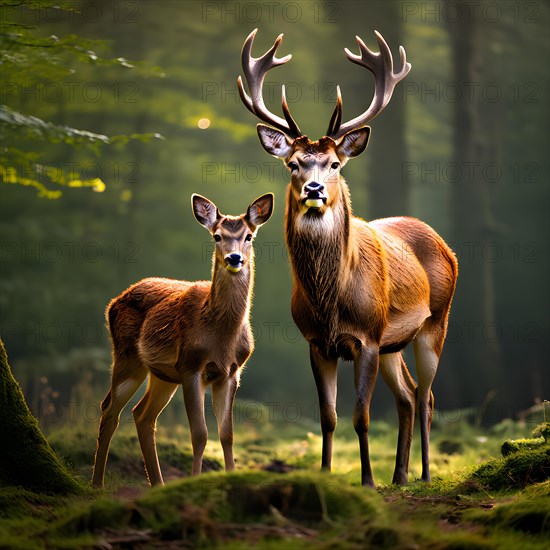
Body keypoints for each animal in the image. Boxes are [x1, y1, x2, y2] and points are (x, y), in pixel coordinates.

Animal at [91, 193, 274, 488]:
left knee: (142, 414)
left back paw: (157, 484)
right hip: (127, 357)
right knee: (109, 409)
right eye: (217, 236)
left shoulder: (231, 373)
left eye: (248, 236)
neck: (222, 338)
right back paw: (97, 483)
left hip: (163, 375)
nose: (234, 258)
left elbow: (227, 435)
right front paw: (195, 480)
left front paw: (232, 478)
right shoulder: (190, 366)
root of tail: (113, 302)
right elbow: (199, 434)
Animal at [239, 29, 460, 488]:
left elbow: (361, 416)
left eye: (335, 163)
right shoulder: (316, 342)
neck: (331, 302)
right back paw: (400, 475)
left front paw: (368, 481)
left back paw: (424, 474)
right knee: (409, 396)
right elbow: (328, 417)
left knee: (428, 396)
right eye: (293, 164)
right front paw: (326, 474)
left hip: (435, 321)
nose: (315, 189)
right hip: (395, 341)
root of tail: (444, 244)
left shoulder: (367, 338)